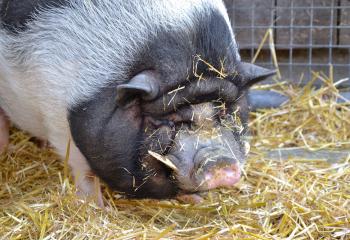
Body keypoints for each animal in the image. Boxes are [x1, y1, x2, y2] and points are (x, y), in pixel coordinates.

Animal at [0, 0, 274, 204]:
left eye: (224, 113)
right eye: (169, 120)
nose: (220, 163)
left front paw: (194, 200)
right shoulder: (58, 115)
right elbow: (84, 170)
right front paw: (96, 207)